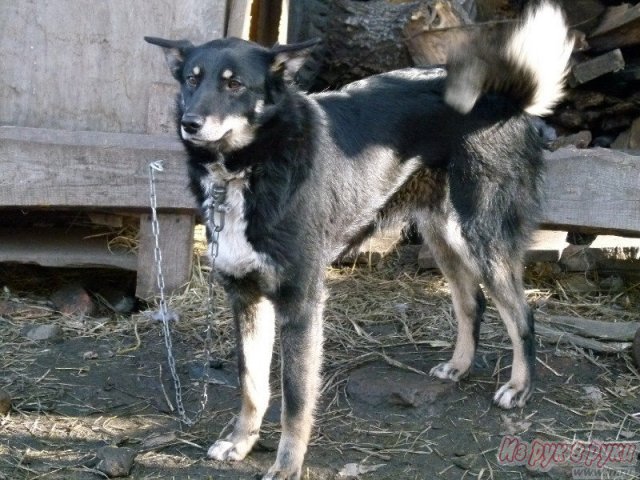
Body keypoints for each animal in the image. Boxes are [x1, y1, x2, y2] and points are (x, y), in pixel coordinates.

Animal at [148, 2, 572, 476]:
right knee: (471, 302)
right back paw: (459, 366)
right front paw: (241, 442)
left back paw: (520, 387)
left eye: (234, 83)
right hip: (443, 235)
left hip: (483, 236)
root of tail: (508, 99)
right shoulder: (246, 297)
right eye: (191, 79)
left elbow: (295, 399)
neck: (250, 167)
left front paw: (287, 464)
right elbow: (252, 385)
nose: (190, 123)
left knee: (521, 313)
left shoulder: (301, 302)